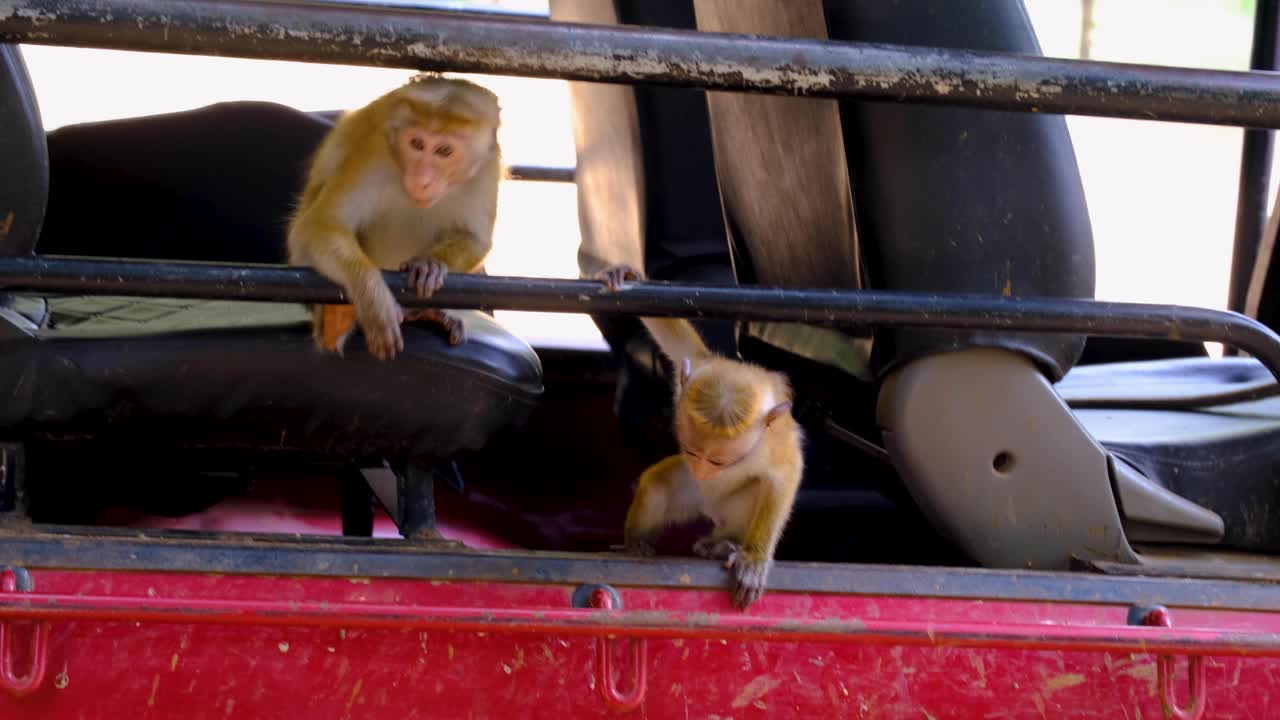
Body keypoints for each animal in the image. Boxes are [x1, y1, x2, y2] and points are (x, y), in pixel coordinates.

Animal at [287, 72, 502, 360]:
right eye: (417, 144)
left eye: (444, 151)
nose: (422, 181)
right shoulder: (374, 153)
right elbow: (321, 225)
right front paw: (372, 297)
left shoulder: (488, 168)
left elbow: (476, 239)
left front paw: (431, 264)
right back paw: (337, 317)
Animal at [597, 264, 805, 609]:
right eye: (693, 453)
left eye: (719, 461)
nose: (702, 472)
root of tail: (711, 508)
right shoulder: (697, 368)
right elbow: (672, 337)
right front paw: (625, 274)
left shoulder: (774, 442)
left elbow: (783, 478)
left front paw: (755, 559)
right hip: (691, 491)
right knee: (656, 484)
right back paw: (634, 545)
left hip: (729, 511)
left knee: (754, 492)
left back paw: (721, 545)